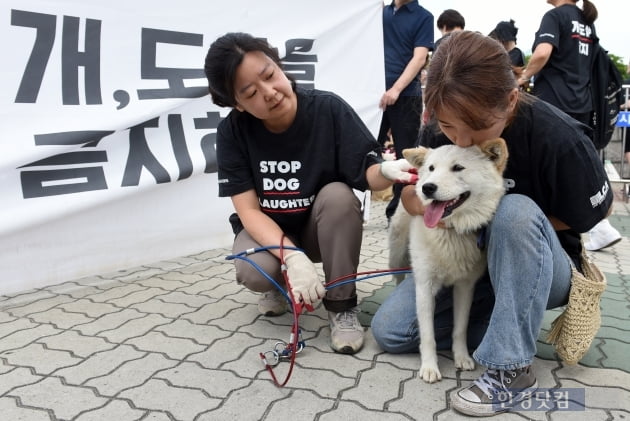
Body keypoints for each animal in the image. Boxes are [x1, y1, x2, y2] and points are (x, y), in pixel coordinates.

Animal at [388, 139, 512, 384]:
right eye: (432, 168)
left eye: (458, 168)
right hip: (396, 253)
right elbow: (428, 334)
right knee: (399, 275)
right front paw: (429, 367)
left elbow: (460, 328)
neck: (451, 232)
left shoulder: (465, 287)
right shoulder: (424, 286)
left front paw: (461, 357)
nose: (427, 188)